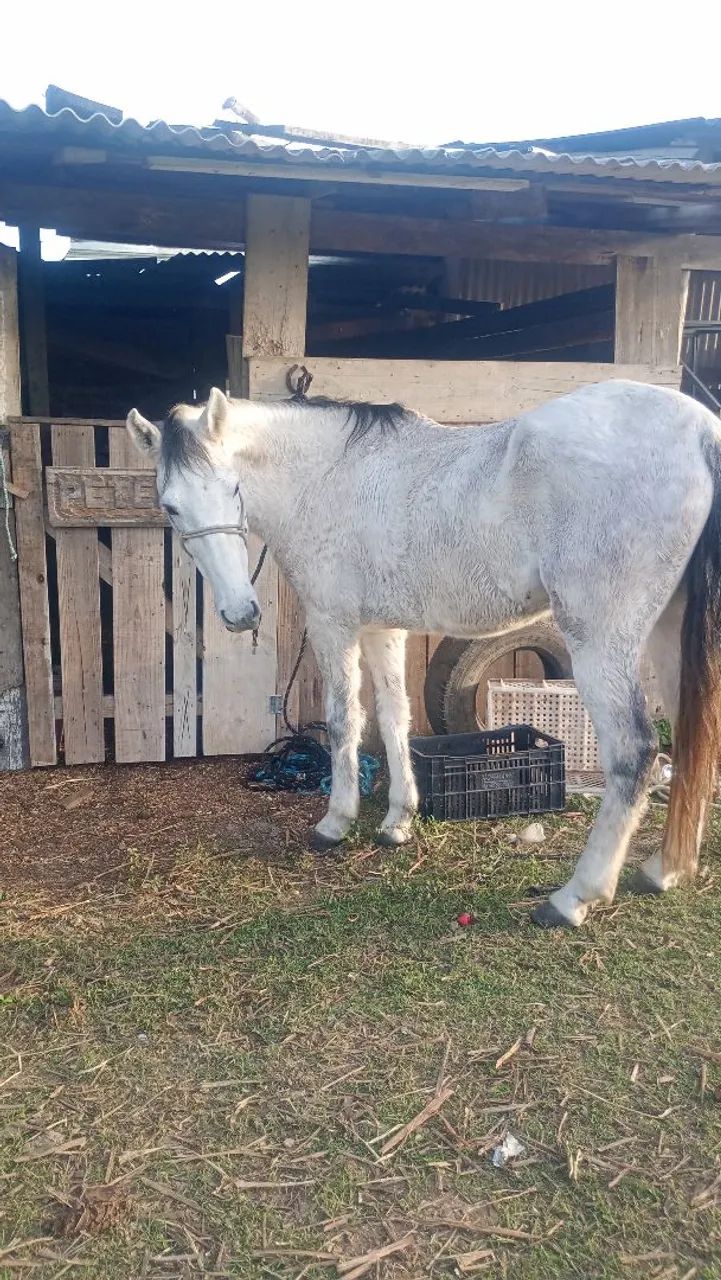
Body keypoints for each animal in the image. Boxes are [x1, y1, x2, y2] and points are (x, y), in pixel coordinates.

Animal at [126, 379, 721, 929]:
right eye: (171, 506)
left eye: (233, 487)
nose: (241, 613)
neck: (328, 476)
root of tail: (699, 428)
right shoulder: (381, 628)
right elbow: (395, 716)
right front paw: (398, 821)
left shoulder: (333, 625)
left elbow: (345, 720)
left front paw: (336, 822)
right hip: (667, 633)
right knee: (692, 734)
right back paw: (663, 870)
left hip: (600, 642)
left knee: (635, 752)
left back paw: (574, 898)